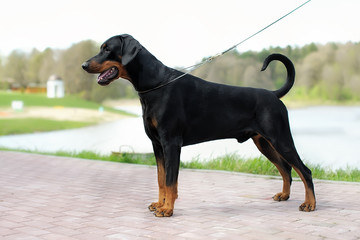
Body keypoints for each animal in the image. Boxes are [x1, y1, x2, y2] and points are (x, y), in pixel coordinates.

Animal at [81, 34, 316, 218]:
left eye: (107, 49)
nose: (83, 65)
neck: (156, 84)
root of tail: (274, 94)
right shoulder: (157, 145)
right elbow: (160, 179)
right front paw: (159, 204)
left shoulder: (171, 143)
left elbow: (170, 180)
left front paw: (167, 209)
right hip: (264, 143)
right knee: (286, 168)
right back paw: (284, 195)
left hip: (280, 138)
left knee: (304, 170)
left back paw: (310, 204)